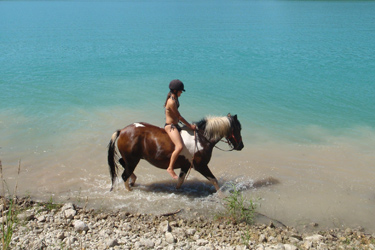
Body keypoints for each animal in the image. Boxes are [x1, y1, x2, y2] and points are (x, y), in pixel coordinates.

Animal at [107, 113, 245, 191]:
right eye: (238, 128)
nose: (241, 146)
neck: (201, 139)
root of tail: (122, 131)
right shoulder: (201, 166)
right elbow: (214, 180)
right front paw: (221, 196)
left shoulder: (185, 165)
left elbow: (180, 181)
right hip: (132, 160)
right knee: (124, 175)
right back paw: (129, 188)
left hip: (131, 159)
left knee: (122, 163)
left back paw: (133, 179)